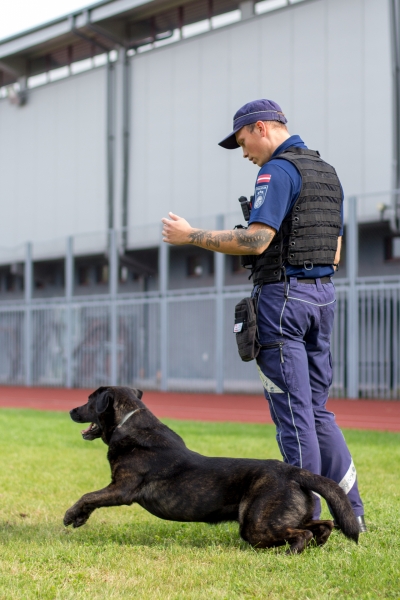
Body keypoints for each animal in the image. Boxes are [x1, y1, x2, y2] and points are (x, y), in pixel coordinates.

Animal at [63, 386, 360, 556]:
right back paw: (316, 545)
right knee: (325, 525)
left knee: (303, 533)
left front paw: (71, 515)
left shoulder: (121, 489)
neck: (129, 423)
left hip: (256, 525)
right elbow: (92, 499)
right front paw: (80, 518)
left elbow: (88, 496)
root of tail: (293, 472)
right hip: (285, 517)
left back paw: (289, 553)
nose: (70, 410)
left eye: (89, 400)